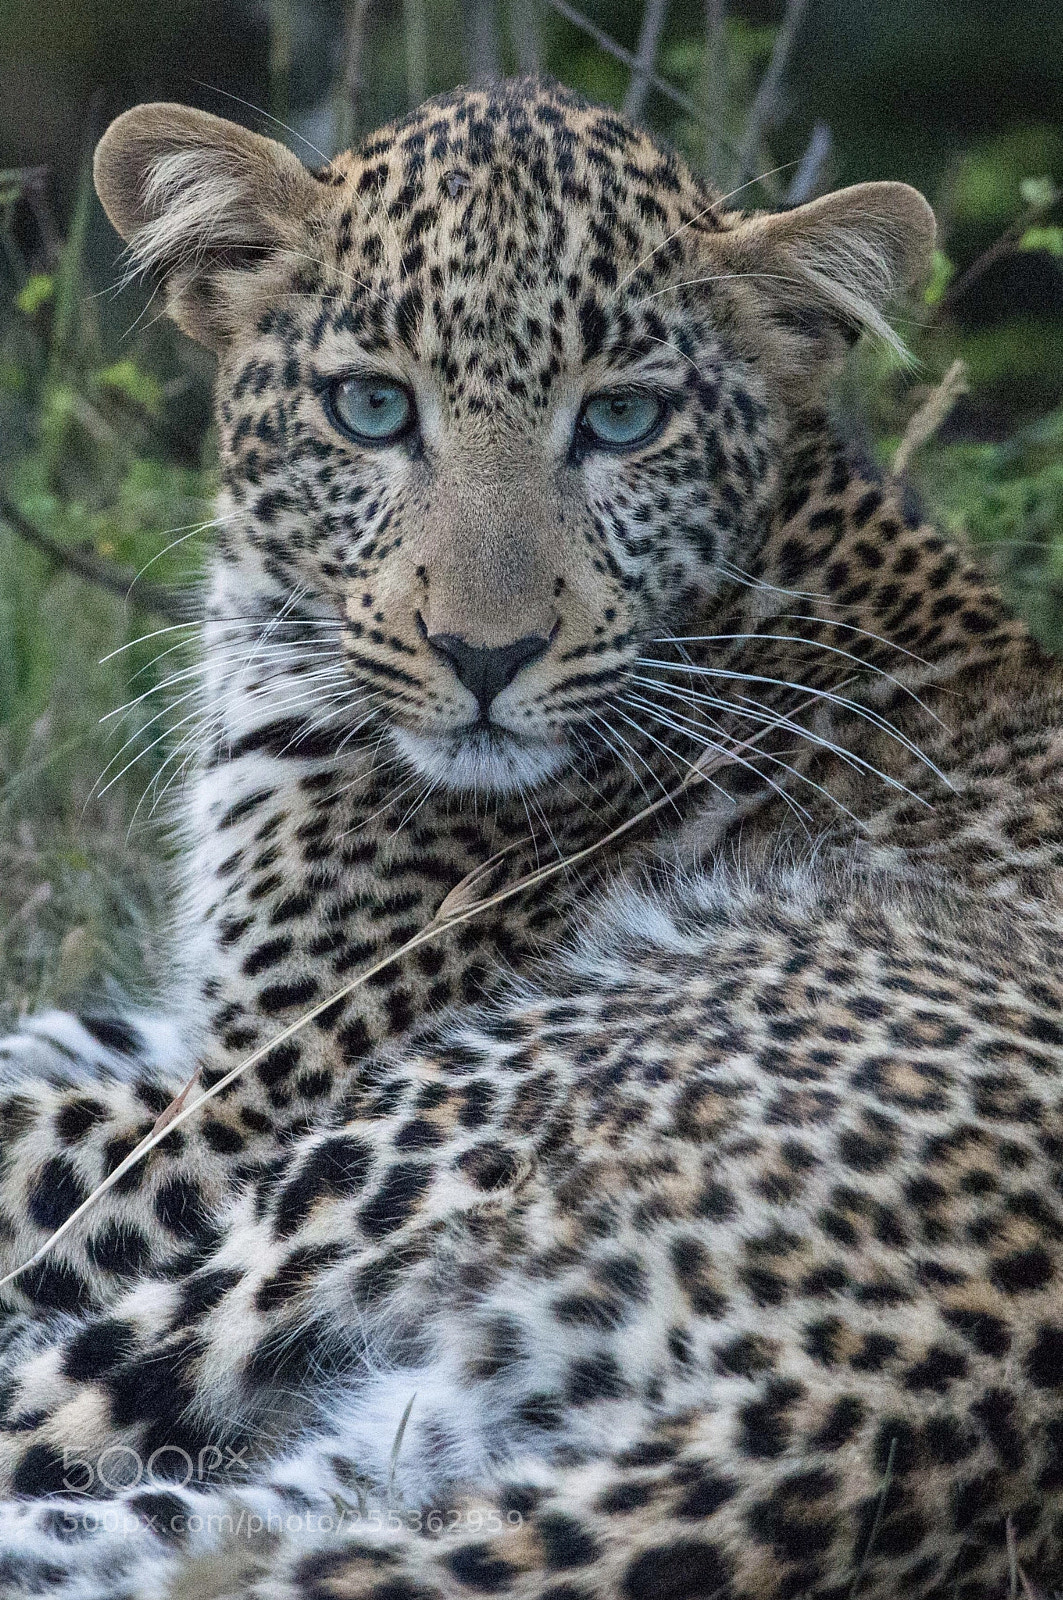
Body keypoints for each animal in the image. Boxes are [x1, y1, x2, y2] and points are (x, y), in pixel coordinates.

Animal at [2, 73, 1063, 1600]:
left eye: (619, 422)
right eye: (371, 407)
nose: (484, 655)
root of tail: (919, 1407)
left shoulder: (246, 1103)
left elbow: (22, 1133)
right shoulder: (213, 1033)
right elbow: (53, 1031)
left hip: (416, 1137)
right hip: (408, 1440)